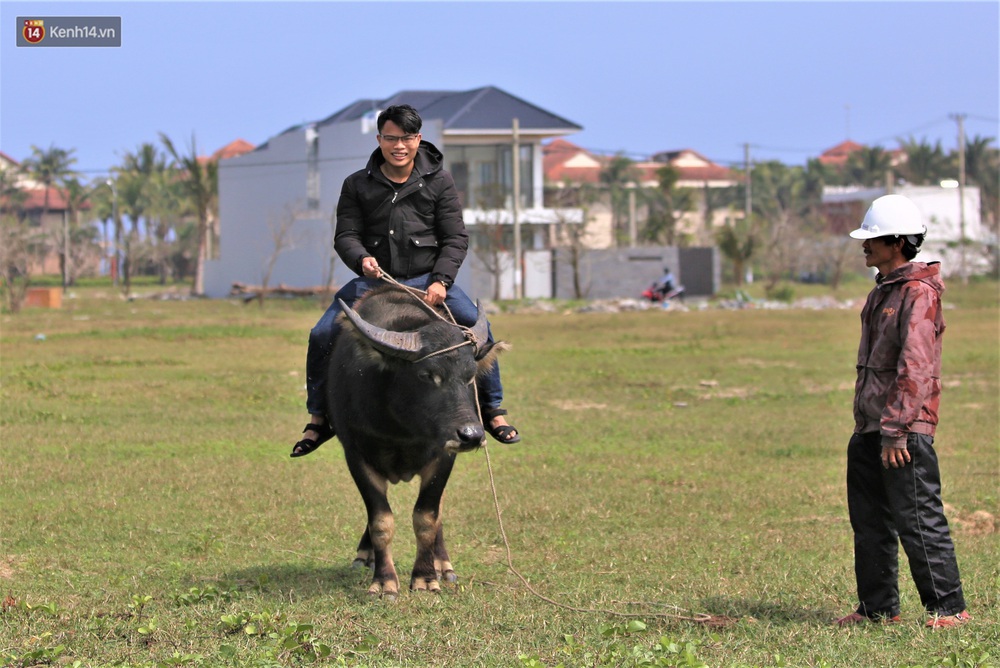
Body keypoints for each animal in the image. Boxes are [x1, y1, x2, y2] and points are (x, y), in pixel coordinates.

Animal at [330, 284, 508, 596]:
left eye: (470, 376)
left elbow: (427, 516)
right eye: (427, 375)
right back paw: (365, 555)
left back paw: (443, 564)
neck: (403, 429)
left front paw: (426, 577)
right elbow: (380, 520)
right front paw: (384, 581)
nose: (471, 435)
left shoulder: (444, 457)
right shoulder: (355, 454)